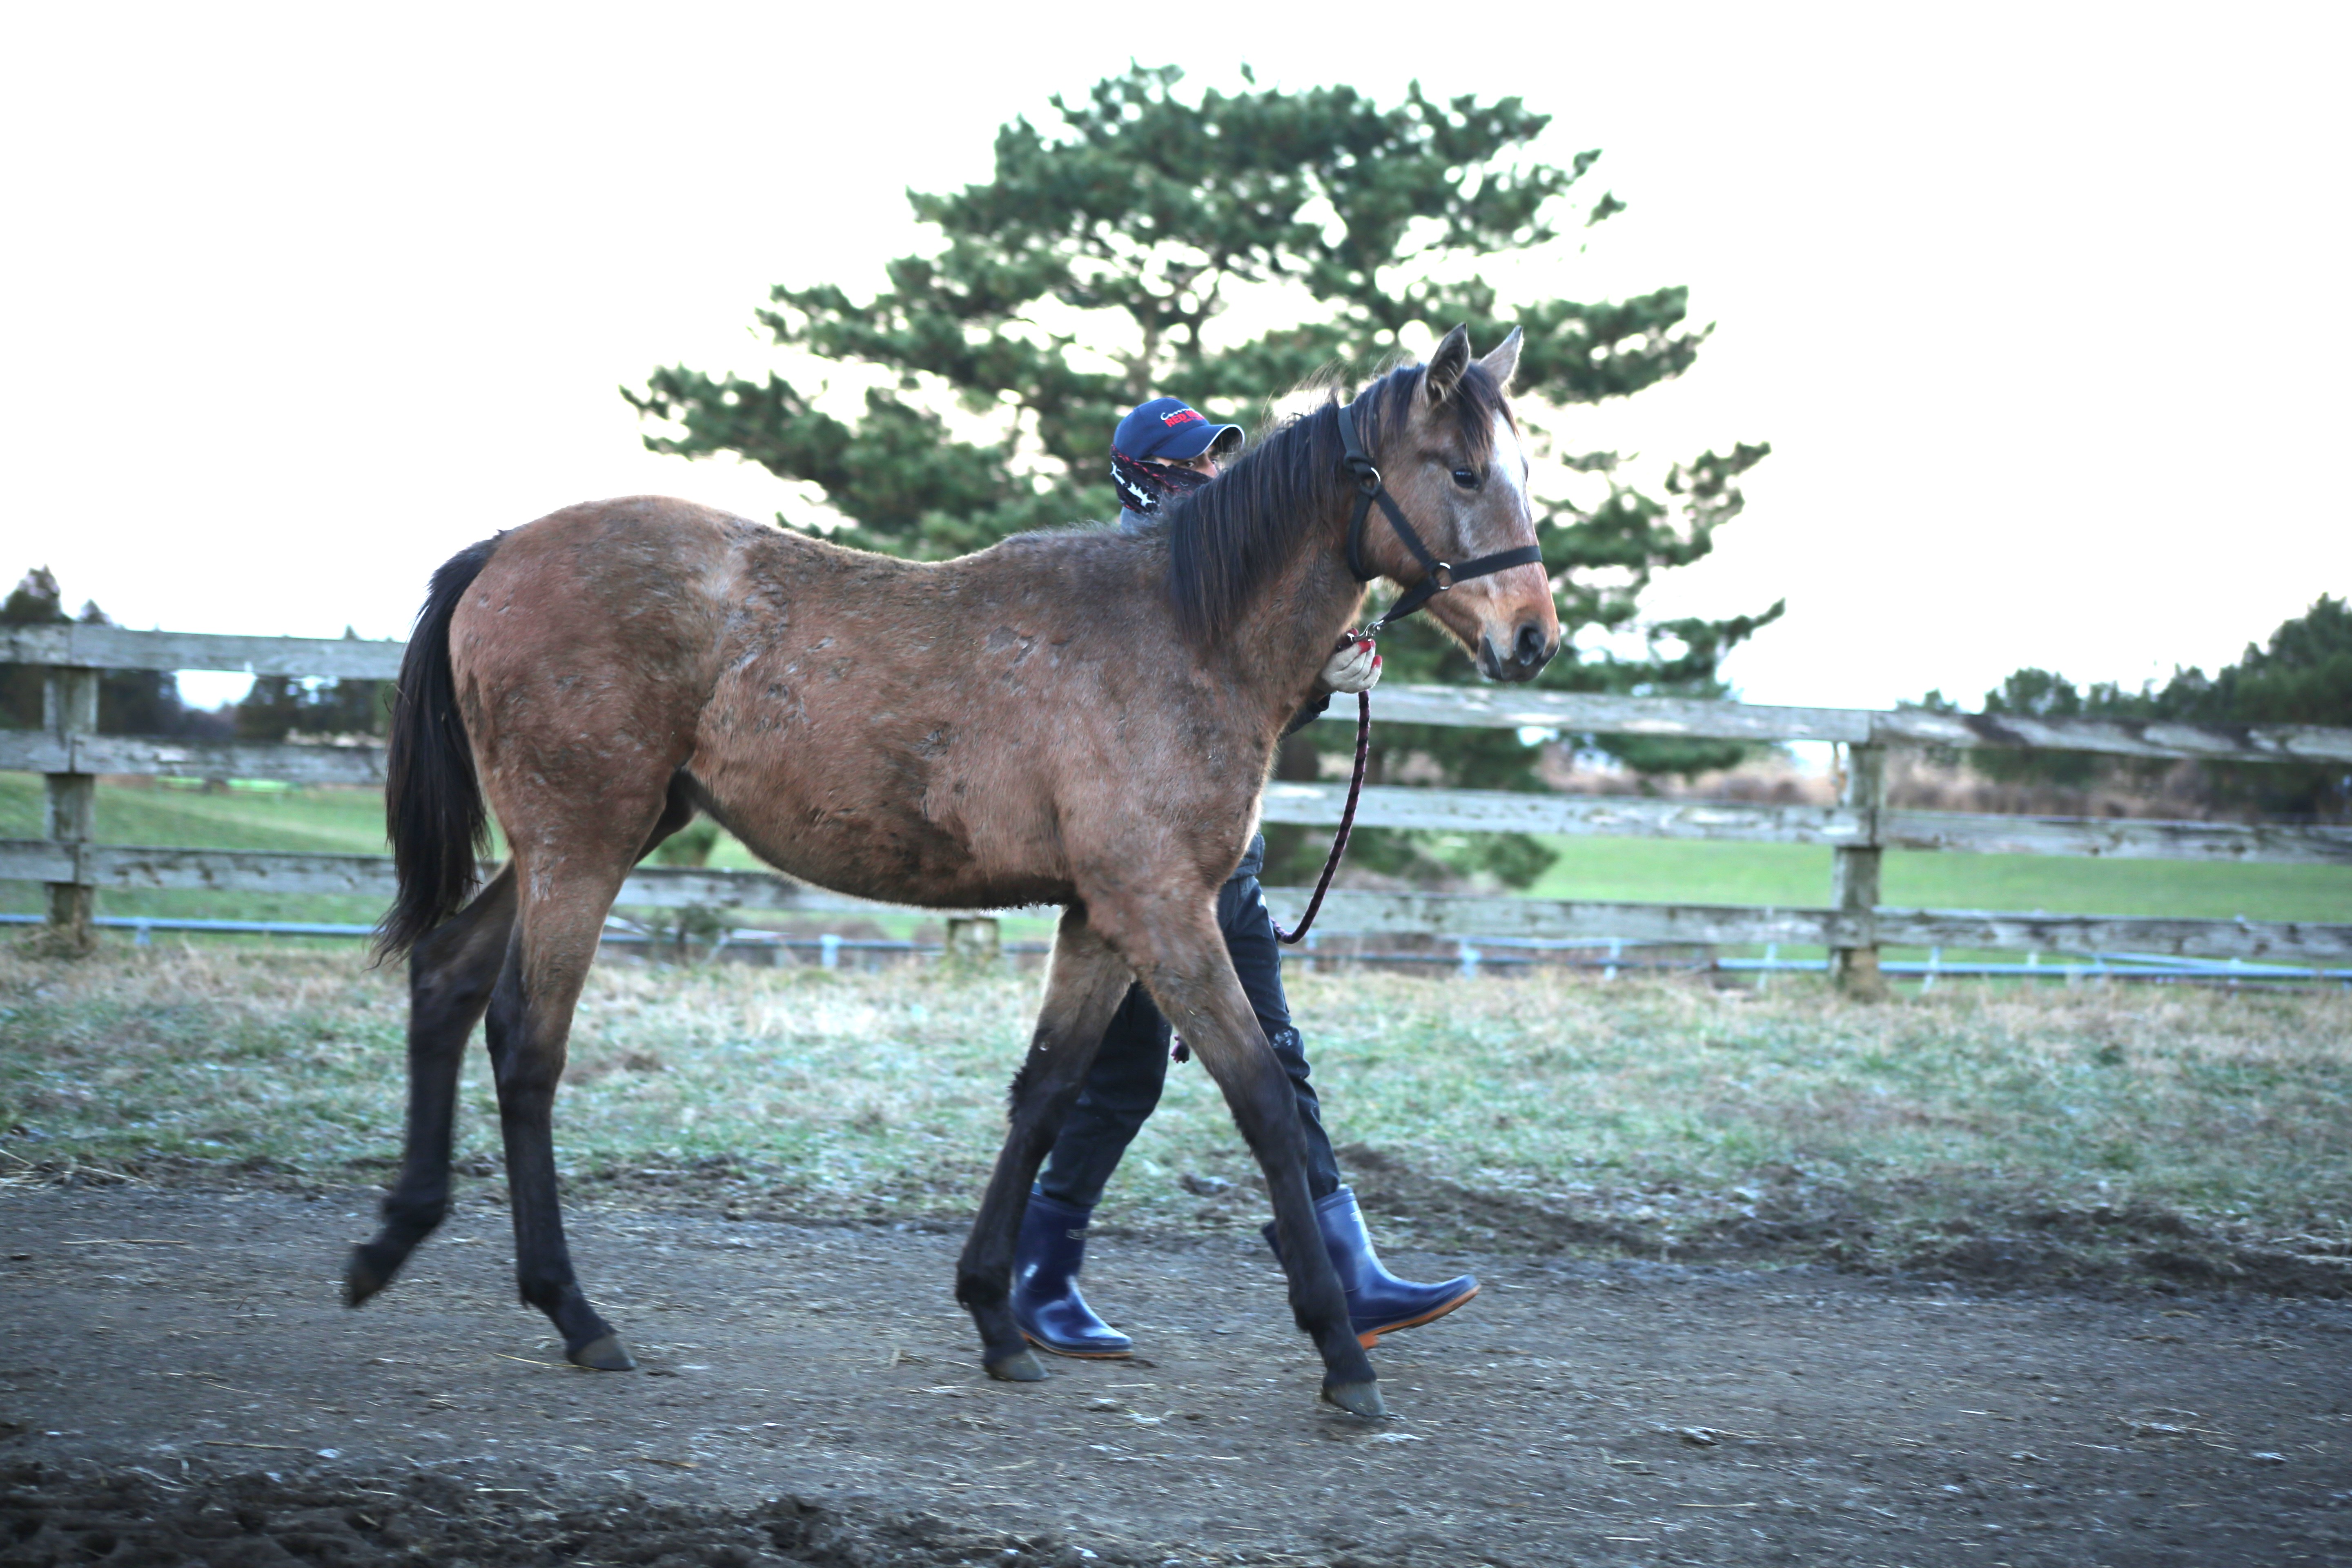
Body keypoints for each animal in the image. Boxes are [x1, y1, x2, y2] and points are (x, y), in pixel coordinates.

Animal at [348, 324, 1552, 1420]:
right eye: (1461, 471)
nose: (1533, 637)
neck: (1180, 631)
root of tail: (503, 552)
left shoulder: (1104, 919)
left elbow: (1048, 1094)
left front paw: (996, 1315)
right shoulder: (1165, 911)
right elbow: (1262, 1097)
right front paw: (1341, 1354)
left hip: (588, 839)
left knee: (448, 976)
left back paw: (394, 1238)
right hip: (582, 844)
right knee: (526, 1041)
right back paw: (574, 1311)